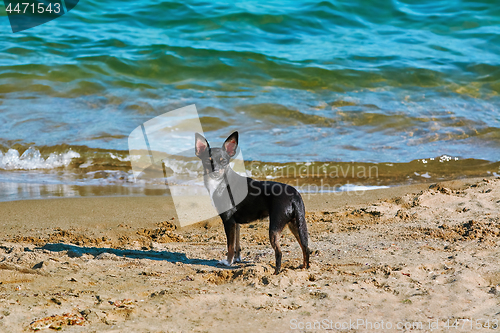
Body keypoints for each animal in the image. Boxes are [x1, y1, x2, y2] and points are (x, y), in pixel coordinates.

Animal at [194, 131, 308, 274]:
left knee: (279, 252)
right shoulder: (235, 223)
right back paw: (304, 268)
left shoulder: (228, 222)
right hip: (295, 224)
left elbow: (230, 246)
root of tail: (294, 195)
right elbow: (237, 245)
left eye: (224, 161)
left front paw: (228, 262)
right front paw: (237, 259)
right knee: (305, 247)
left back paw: (276, 273)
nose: (215, 171)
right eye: (207, 162)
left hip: (275, 227)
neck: (220, 182)